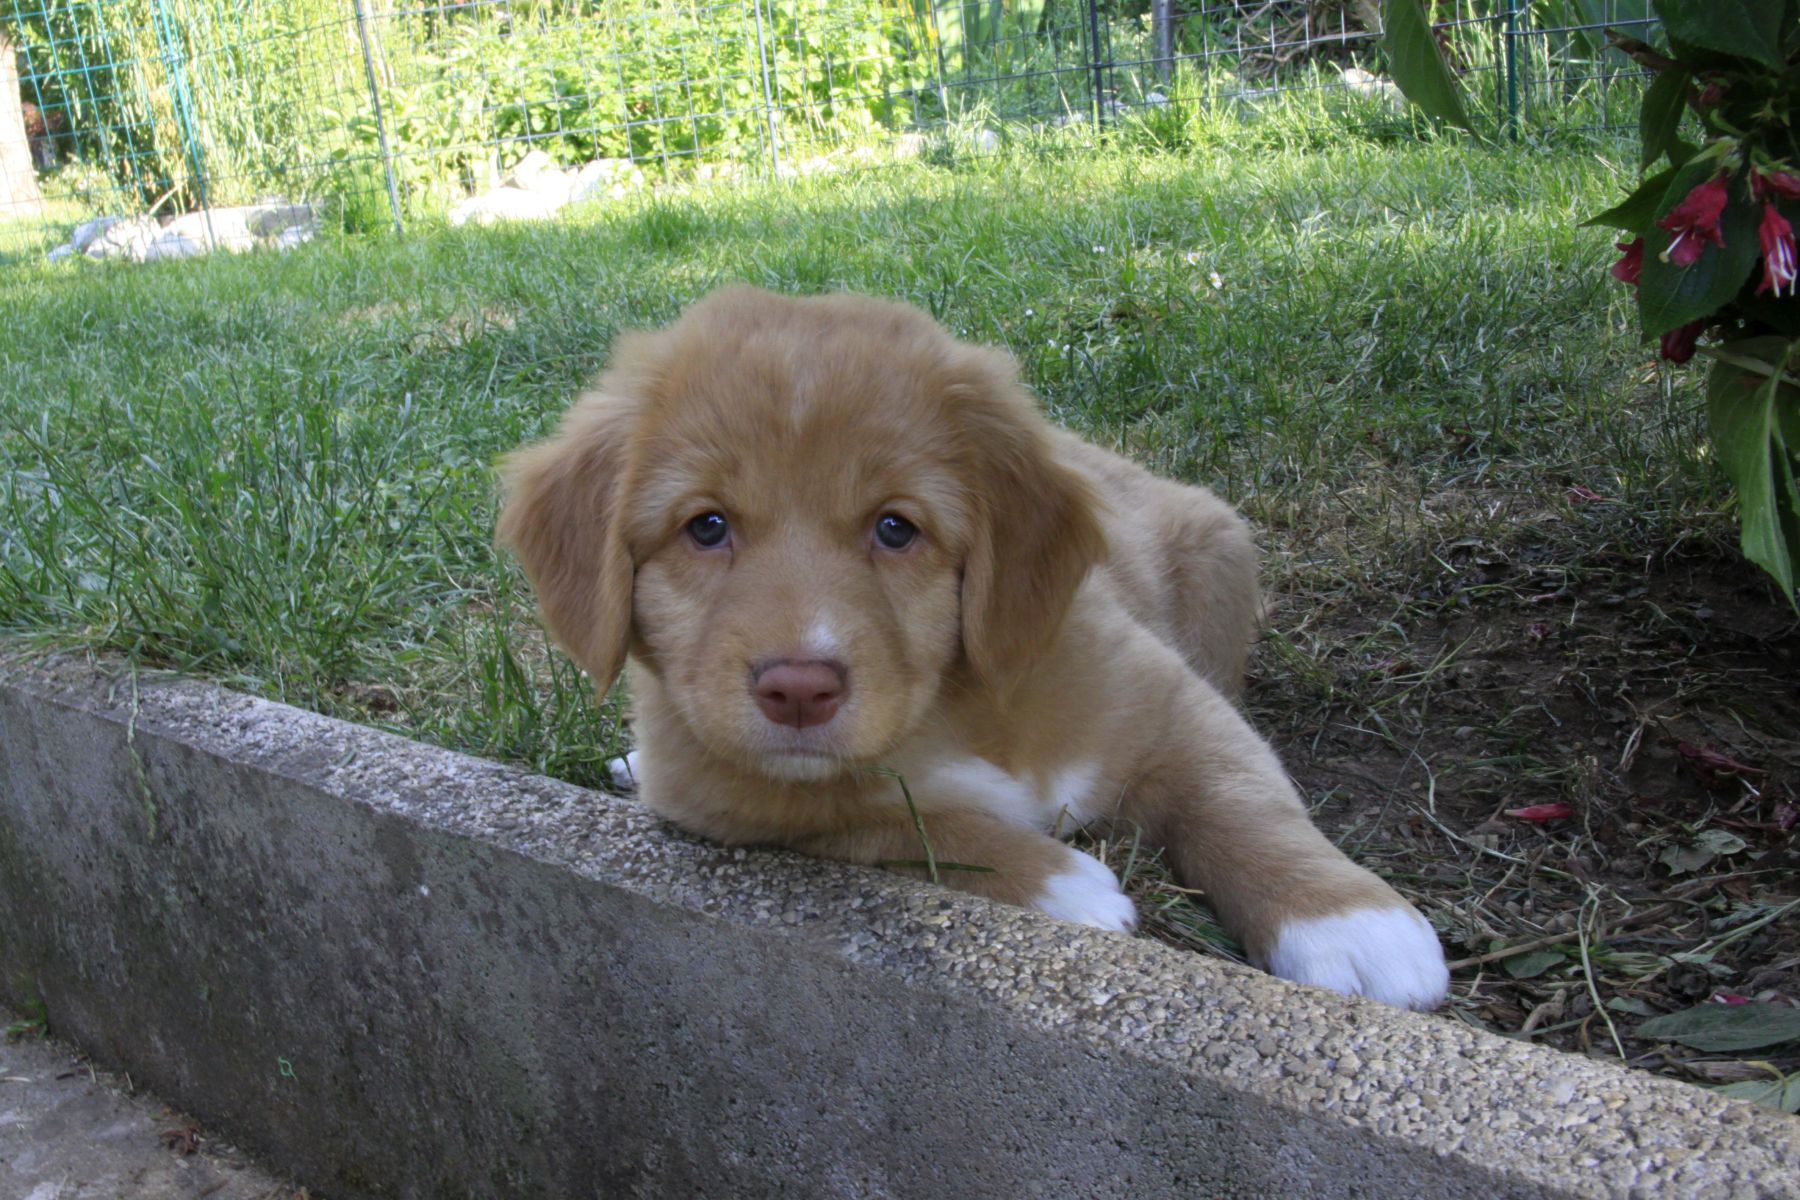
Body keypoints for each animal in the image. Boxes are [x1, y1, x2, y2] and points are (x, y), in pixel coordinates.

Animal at [498, 287, 1449, 1011]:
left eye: (896, 528)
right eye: (705, 528)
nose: (798, 689)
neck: (946, 716)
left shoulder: (1174, 704)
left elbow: (1244, 801)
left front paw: (1349, 921)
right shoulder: (723, 796)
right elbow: (888, 819)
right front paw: (1064, 886)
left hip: (1219, 552)